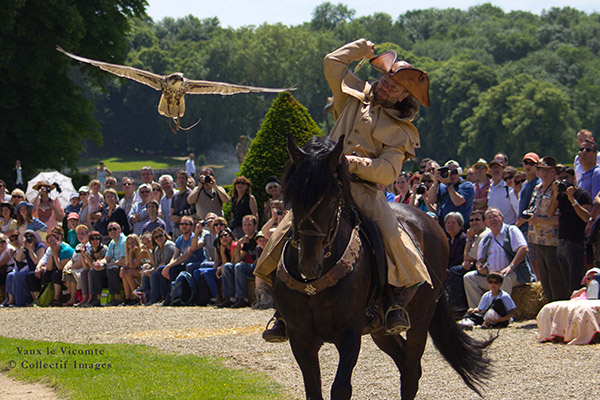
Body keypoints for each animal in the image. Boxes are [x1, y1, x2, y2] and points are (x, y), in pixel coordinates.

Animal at [274, 135, 494, 400]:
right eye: (293, 195)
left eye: (333, 196)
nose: (309, 262)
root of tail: (432, 223)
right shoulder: (300, 338)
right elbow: (313, 391)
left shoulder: (349, 334)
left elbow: (341, 388)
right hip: (381, 331)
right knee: (406, 362)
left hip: (420, 319)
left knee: (410, 373)